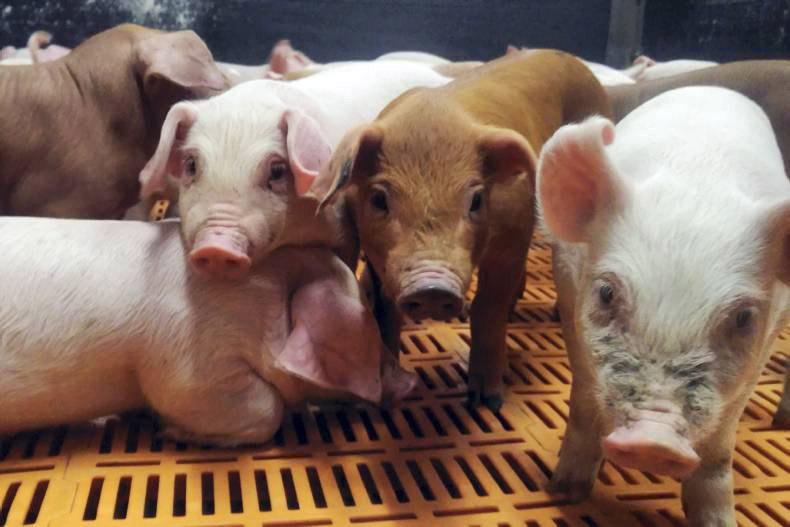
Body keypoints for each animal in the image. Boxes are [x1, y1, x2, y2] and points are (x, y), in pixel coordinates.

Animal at [309, 50, 612, 410]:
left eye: (476, 199)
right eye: (379, 199)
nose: (432, 289)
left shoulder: (510, 241)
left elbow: (488, 309)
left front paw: (487, 401)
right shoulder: (377, 256)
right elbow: (386, 312)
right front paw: (384, 398)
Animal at [536, 87, 790, 525]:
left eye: (743, 318)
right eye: (606, 293)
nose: (653, 441)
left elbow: (719, 449)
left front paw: (720, 522)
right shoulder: (571, 295)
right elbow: (583, 402)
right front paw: (565, 493)